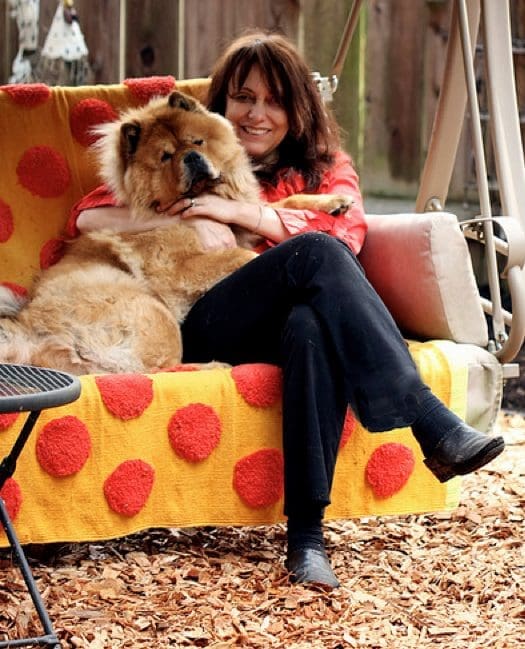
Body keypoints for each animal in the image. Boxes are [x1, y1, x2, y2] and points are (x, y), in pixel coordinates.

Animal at [1, 92, 352, 374]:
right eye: (165, 156)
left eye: (197, 141)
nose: (192, 157)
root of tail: (26, 328)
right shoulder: (179, 268)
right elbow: (245, 254)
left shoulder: (243, 224)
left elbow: (279, 205)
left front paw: (334, 203)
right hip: (154, 314)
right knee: (145, 371)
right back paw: (212, 366)